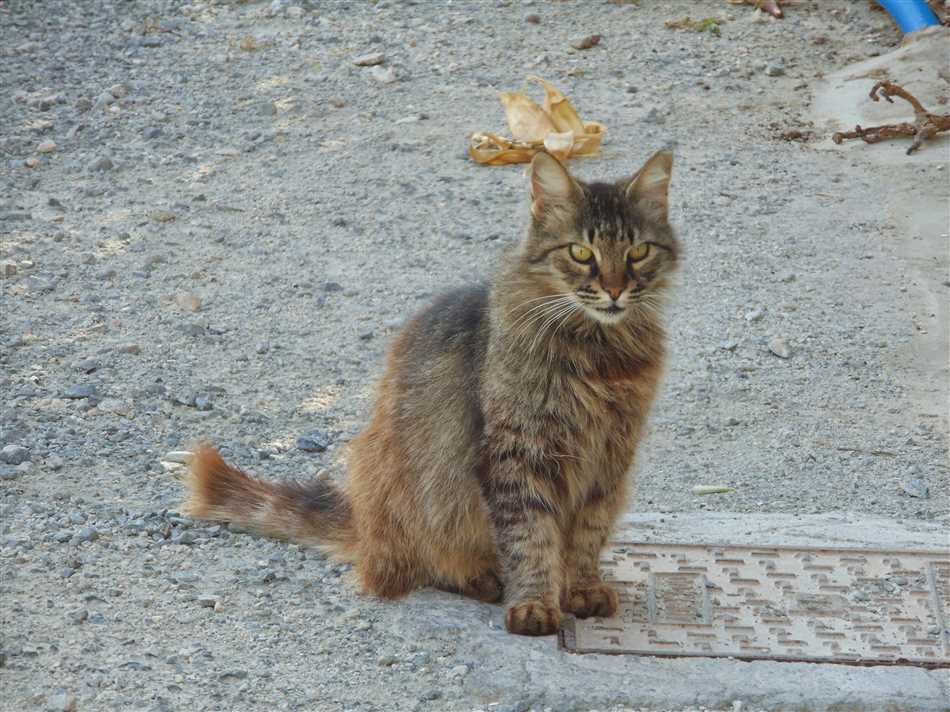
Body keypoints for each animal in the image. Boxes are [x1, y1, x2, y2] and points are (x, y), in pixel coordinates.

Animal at [184, 149, 676, 636]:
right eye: (580, 252)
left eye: (637, 252)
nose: (615, 290)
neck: (601, 355)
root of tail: (361, 521)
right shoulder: (518, 453)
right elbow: (530, 537)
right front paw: (534, 604)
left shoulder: (610, 457)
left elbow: (588, 534)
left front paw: (582, 588)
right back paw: (482, 579)